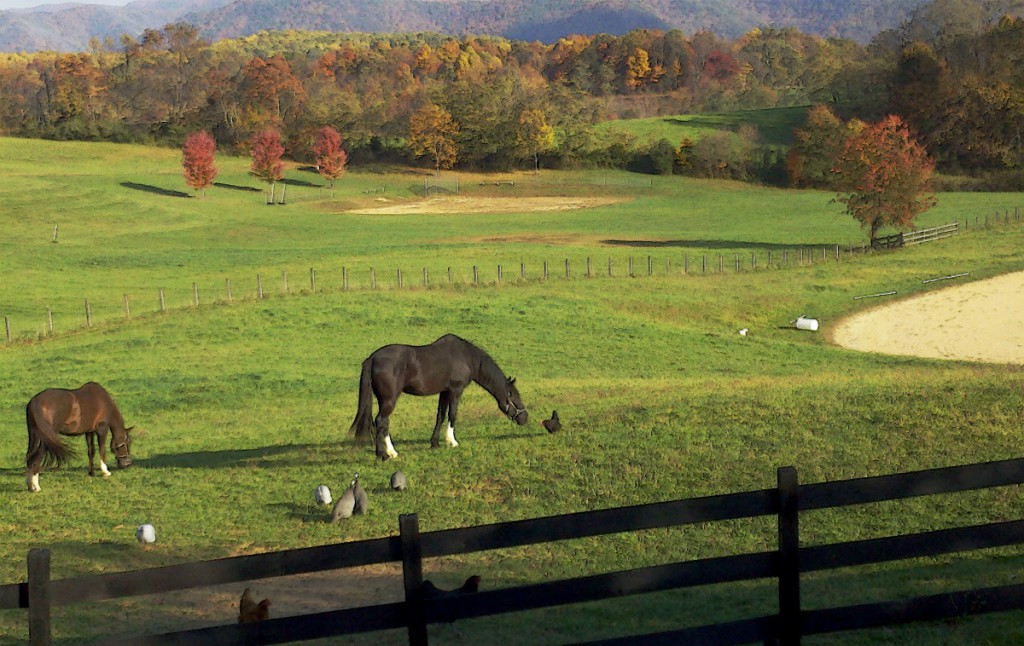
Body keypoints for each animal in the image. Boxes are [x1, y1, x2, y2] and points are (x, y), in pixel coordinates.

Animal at [350, 335, 528, 462]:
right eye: (515, 397)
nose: (525, 418)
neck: (465, 357)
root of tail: (372, 358)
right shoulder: (456, 391)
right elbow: (452, 414)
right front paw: (452, 441)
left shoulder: (444, 392)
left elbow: (440, 415)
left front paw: (434, 443)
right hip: (389, 400)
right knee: (382, 421)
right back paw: (387, 454)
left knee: (380, 423)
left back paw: (385, 453)